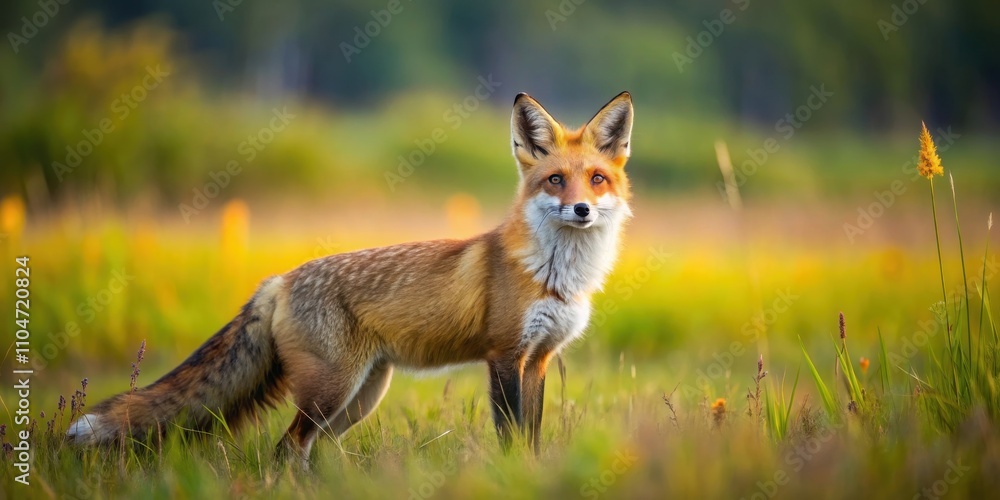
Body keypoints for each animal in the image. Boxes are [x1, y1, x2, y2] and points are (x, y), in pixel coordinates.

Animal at [67, 91, 635, 465]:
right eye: (555, 180)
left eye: (597, 179)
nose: (582, 209)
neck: (554, 274)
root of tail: (281, 279)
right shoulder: (502, 355)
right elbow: (511, 435)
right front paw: (514, 473)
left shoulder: (538, 359)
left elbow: (532, 435)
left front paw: (532, 471)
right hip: (332, 391)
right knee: (286, 448)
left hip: (358, 398)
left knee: (306, 448)